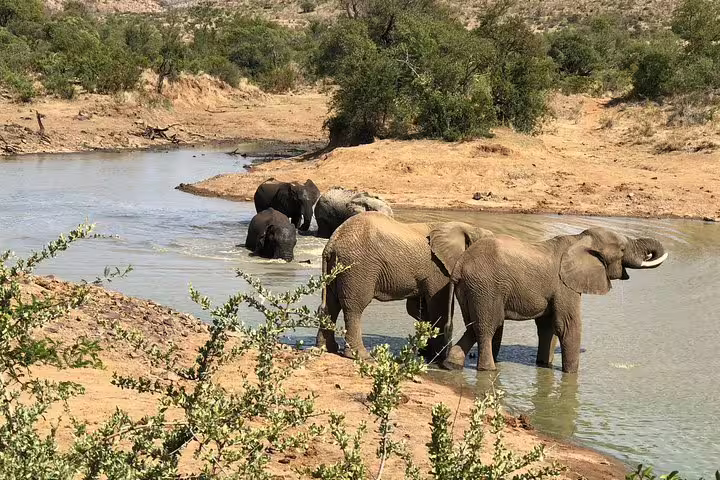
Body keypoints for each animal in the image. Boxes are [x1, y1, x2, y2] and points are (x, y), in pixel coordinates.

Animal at [316, 211, 493, 361]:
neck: (466, 227)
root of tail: (332, 242)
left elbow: (419, 309)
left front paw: (426, 353)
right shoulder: (437, 268)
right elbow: (438, 308)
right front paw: (437, 357)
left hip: (337, 267)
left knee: (331, 304)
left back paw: (327, 348)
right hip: (357, 267)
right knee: (354, 308)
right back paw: (362, 356)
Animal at [441, 227, 668, 373]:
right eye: (621, 248)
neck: (578, 238)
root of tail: (459, 266)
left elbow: (547, 327)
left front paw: (544, 366)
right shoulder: (564, 285)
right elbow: (567, 325)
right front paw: (572, 376)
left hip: (472, 290)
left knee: (473, 326)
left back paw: (452, 365)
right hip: (486, 288)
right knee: (488, 326)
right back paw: (488, 370)